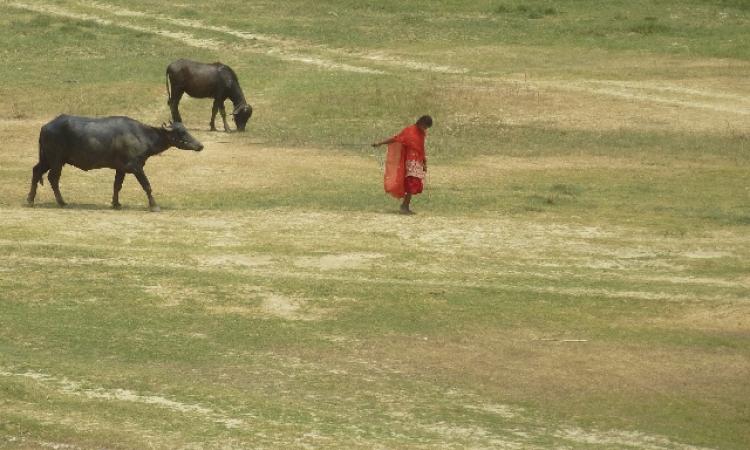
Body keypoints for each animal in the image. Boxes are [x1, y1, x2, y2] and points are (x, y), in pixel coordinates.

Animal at [27, 114, 204, 213]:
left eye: (186, 129)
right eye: (181, 132)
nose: (200, 145)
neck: (142, 136)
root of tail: (46, 127)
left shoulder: (121, 169)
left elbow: (117, 186)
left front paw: (116, 203)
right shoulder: (136, 167)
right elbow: (147, 186)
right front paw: (154, 206)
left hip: (47, 159)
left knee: (36, 171)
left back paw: (30, 200)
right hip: (56, 160)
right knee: (53, 178)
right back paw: (61, 202)